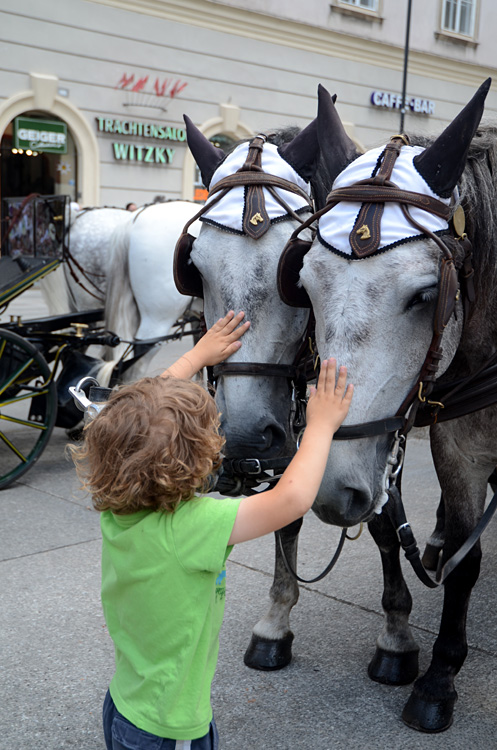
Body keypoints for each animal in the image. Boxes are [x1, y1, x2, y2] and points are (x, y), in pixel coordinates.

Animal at [280, 79, 496, 732]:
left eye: (426, 295)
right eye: (306, 283)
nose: (332, 487)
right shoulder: (459, 449)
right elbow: (465, 558)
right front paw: (440, 675)